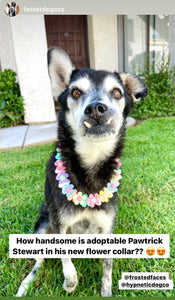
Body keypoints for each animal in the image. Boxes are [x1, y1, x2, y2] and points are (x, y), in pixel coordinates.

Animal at [16, 47, 148, 298]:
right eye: (76, 92)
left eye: (117, 92)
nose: (96, 108)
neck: (90, 166)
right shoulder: (59, 224)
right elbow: (67, 261)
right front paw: (70, 283)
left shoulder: (107, 227)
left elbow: (107, 269)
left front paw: (106, 292)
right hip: (42, 228)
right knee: (38, 263)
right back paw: (24, 285)